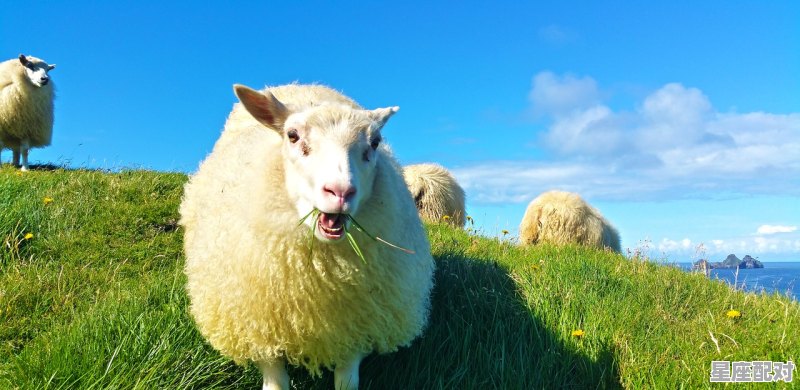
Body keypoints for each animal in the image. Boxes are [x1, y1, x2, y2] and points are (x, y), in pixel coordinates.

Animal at [180, 84, 438, 388]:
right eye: (292, 136)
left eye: (375, 142)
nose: (340, 192)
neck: (318, 278)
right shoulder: (260, 324)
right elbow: (275, 382)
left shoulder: (357, 323)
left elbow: (347, 381)